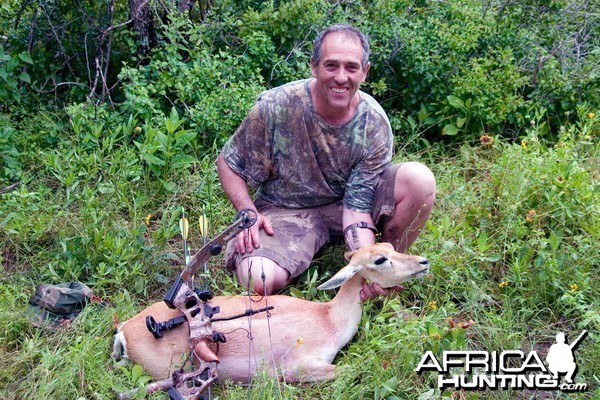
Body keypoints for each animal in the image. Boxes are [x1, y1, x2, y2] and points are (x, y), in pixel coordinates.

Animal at [112, 242, 428, 382]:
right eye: (380, 259)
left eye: (390, 245)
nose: (423, 262)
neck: (328, 319)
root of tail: (123, 331)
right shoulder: (302, 368)